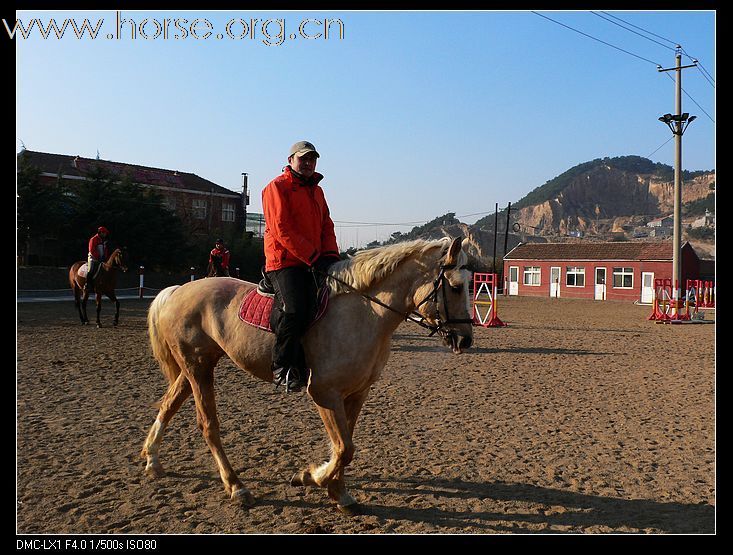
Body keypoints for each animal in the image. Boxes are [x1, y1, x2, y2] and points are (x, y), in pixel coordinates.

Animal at [140, 237, 472, 516]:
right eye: (456, 287)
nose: (466, 340)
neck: (364, 313)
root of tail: (178, 290)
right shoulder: (324, 393)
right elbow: (344, 449)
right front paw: (311, 477)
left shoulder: (356, 392)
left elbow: (344, 445)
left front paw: (337, 492)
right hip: (198, 368)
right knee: (208, 425)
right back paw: (236, 487)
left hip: (196, 366)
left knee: (169, 404)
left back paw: (152, 460)